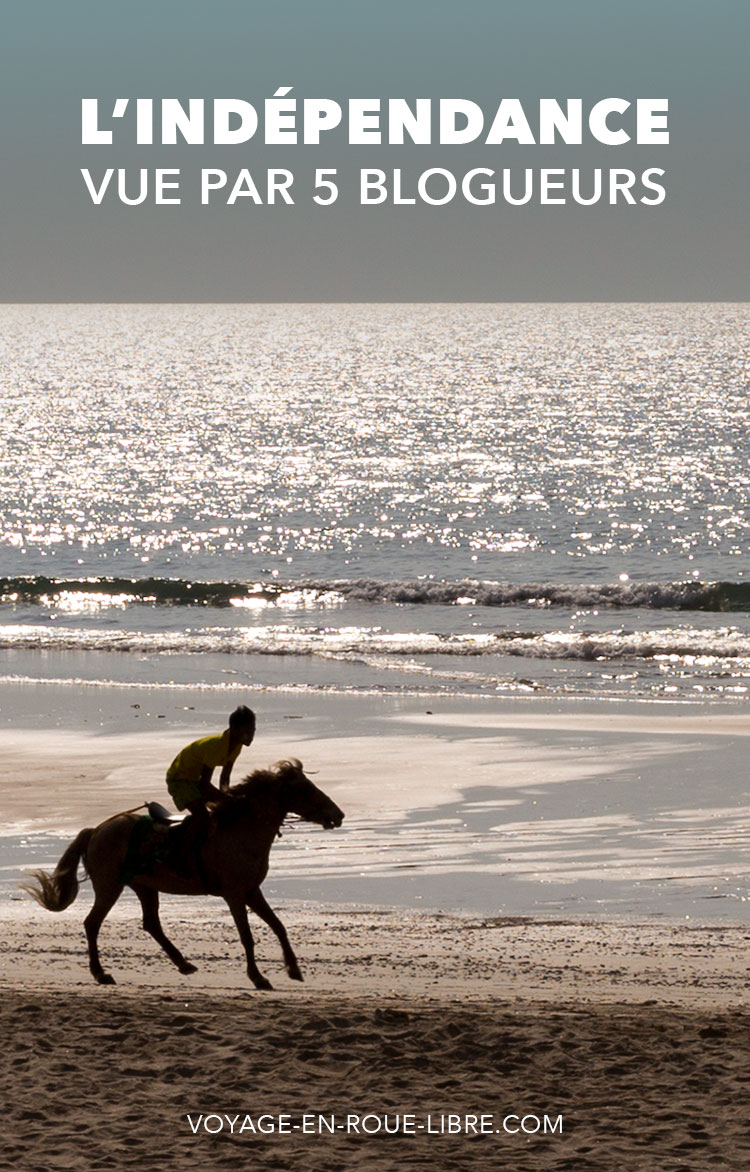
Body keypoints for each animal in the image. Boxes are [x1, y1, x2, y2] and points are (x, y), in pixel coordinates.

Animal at [23, 759, 344, 990]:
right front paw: (258, 977)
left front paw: (294, 969)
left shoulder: (252, 891)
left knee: (151, 924)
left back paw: (184, 964)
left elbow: (278, 926)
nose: (338, 815)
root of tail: (96, 831)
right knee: (92, 924)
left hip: (144, 886)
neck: (242, 830)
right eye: (306, 789)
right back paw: (101, 974)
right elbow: (247, 936)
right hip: (110, 887)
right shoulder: (234, 895)